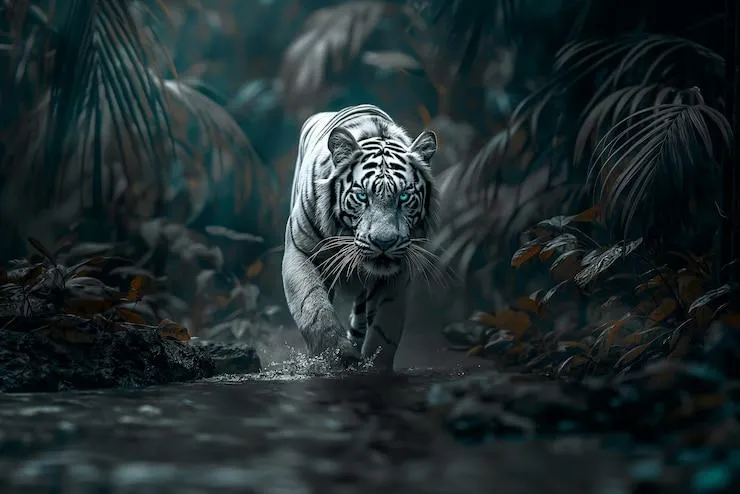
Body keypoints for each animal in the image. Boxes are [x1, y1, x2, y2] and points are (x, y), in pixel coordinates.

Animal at [281, 104, 438, 370]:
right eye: (363, 196)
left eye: (404, 197)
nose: (384, 242)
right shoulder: (300, 252)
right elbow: (314, 309)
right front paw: (337, 358)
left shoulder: (398, 272)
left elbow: (385, 328)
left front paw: (374, 367)